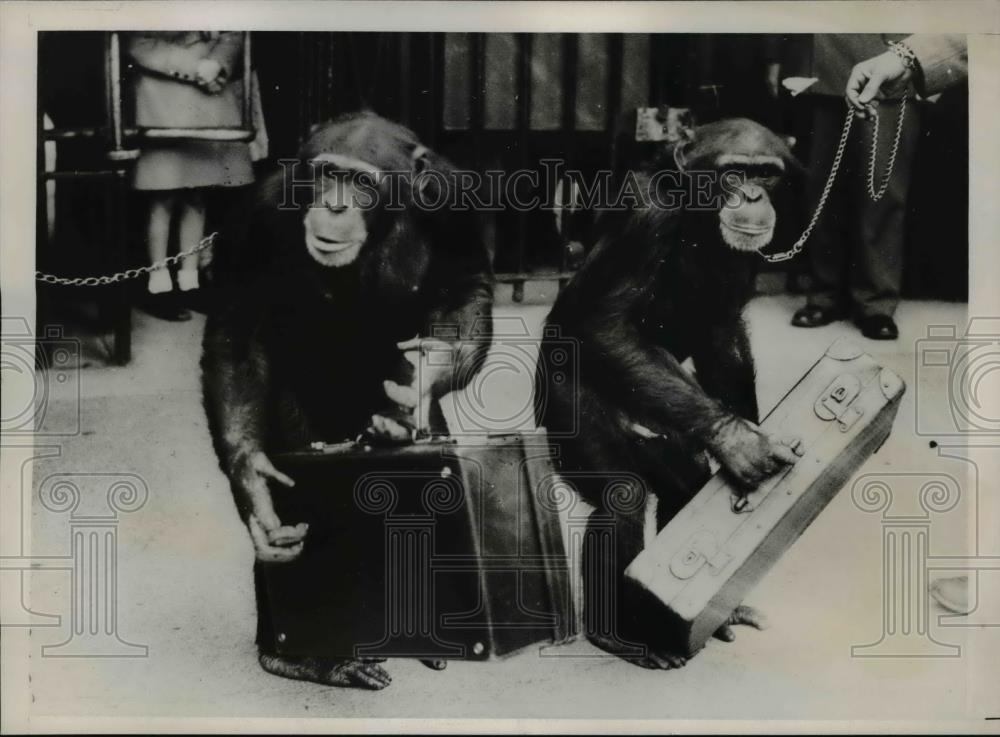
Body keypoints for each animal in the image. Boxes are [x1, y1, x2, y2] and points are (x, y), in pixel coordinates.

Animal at [204, 110, 496, 688]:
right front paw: (255, 487)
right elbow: (236, 329)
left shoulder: (455, 199)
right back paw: (309, 659)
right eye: (327, 175)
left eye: (361, 182)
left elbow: (466, 286)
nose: (336, 204)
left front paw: (423, 377)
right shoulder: (257, 214)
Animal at [540, 116, 804, 668]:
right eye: (733, 173)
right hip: (564, 400)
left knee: (685, 483)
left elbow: (722, 331)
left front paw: (744, 443)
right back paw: (618, 636)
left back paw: (716, 613)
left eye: (765, 173)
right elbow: (606, 323)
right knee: (622, 495)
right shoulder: (648, 217)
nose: (751, 194)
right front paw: (740, 442)